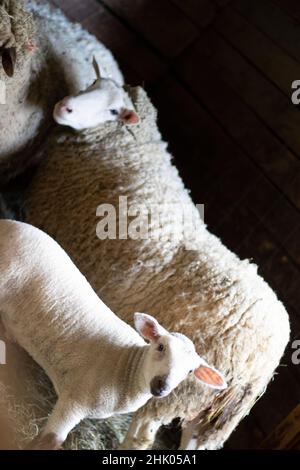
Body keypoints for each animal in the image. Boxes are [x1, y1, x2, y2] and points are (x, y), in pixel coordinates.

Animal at [0, 218, 226, 450]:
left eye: (190, 371)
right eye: (161, 347)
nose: (161, 386)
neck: (125, 371)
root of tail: (8, 223)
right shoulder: (74, 402)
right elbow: (48, 442)